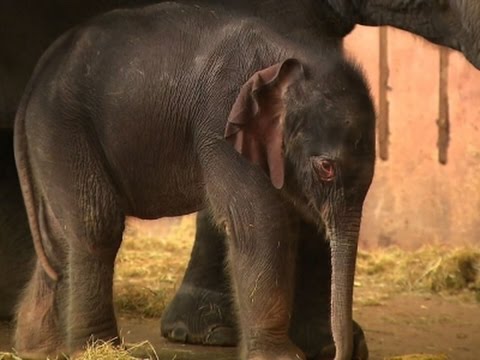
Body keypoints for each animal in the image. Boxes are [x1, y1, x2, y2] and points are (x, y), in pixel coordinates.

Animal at [0, 0, 478, 358]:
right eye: (325, 167)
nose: (346, 353)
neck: (286, 64)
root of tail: (38, 77)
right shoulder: (220, 123)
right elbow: (261, 224)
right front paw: (283, 357)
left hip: (54, 136)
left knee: (60, 239)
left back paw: (38, 349)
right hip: (64, 125)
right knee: (94, 225)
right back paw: (97, 350)